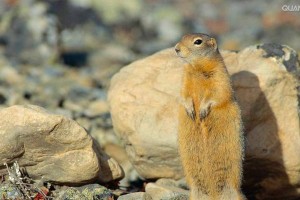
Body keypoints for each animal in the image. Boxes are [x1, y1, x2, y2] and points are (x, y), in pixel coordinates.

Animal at [175, 33, 245, 199]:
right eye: (182, 37)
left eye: (198, 41)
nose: (176, 48)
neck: (196, 68)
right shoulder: (184, 80)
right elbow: (183, 94)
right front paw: (190, 110)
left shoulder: (220, 76)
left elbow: (219, 93)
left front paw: (202, 110)